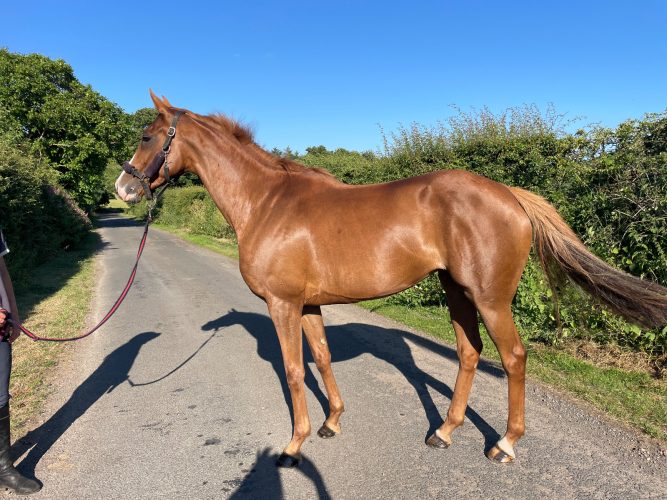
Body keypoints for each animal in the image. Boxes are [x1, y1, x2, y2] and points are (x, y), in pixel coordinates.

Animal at [116, 90, 667, 467]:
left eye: (146, 137)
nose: (123, 187)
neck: (267, 202)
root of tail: (510, 194)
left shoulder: (283, 304)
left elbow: (293, 371)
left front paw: (294, 446)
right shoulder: (308, 304)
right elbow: (321, 359)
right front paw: (332, 423)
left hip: (490, 299)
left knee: (513, 357)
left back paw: (505, 444)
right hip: (455, 291)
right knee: (470, 354)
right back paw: (444, 431)